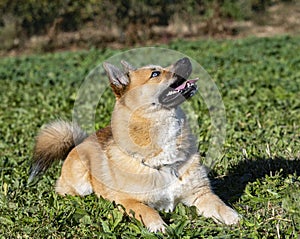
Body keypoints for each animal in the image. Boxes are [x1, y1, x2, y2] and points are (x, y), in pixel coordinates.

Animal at [28, 57, 239, 232]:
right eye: (155, 73)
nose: (186, 58)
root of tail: (78, 143)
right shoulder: (125, 201)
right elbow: (146, 210)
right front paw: (158, 226)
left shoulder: (199, 194)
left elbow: (219, 204)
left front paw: (234, 218)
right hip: (80, 185)